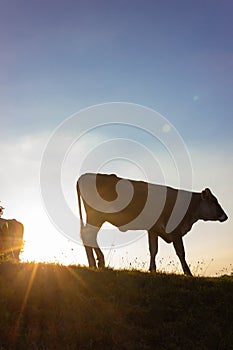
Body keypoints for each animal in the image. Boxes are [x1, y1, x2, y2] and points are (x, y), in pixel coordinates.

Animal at [76, 174, 228, 274]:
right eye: (213, 201)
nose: (225, 216)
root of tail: (85, 175)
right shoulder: (175, 230)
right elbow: (181, 252)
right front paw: (188, 273)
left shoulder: (153, 229)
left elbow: (153, 250)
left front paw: (153, 270)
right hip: (96, 216)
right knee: (88, 235)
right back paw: (95, 263)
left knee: (88, 235)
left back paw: (96, 263)